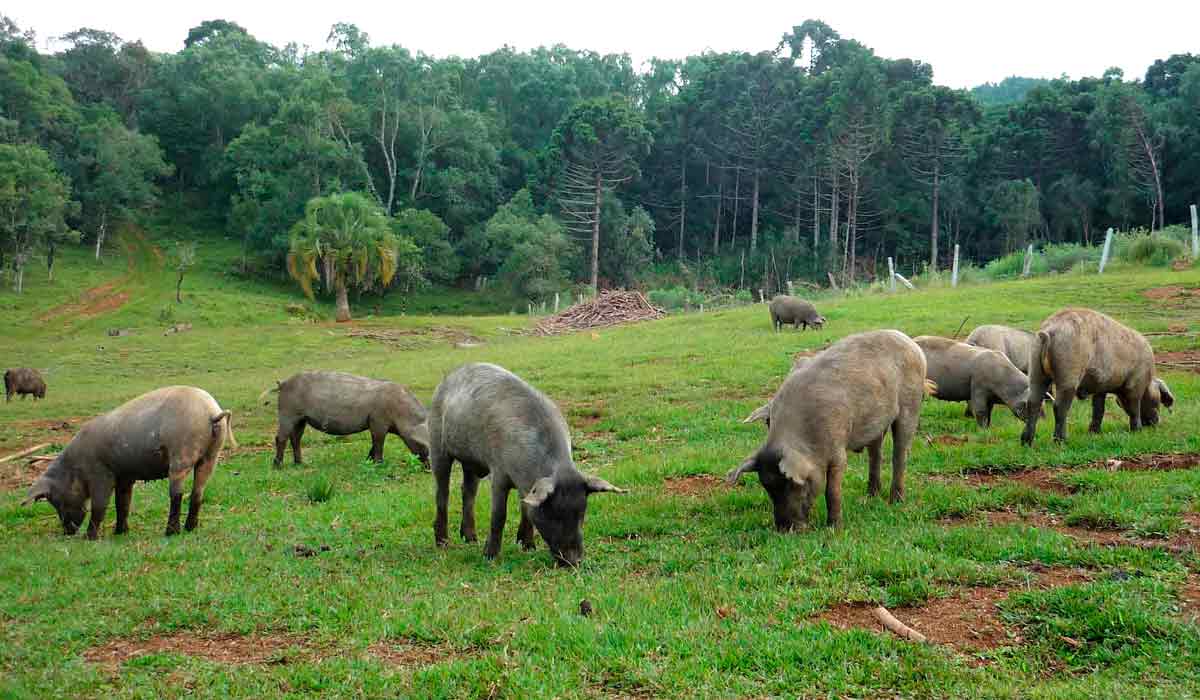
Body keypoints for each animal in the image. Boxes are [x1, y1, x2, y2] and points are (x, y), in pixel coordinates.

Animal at [21, 386, 234, 540]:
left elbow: (100, 505)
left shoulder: (100, 474)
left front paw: (90, 537)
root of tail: (211, 412)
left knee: (177, 494)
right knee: (198, 492)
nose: (68, 531)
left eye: (55, 499)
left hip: (181, 454)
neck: (75, 468)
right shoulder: (125, 477)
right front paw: (120, 532)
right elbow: (122, 503)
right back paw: (190, 528)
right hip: (211, 456)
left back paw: (170, 532)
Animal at [261, 369, 432, 468]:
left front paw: (368, 461)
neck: (400, 411)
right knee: (281, 438)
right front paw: (379, 464)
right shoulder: (378, 422)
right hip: (287, 414)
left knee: (295, 438)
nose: (429, 468)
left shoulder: (375, 425)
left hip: (301, 419)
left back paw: (300, 464)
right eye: (423, 444)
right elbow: (378, 444)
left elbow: (373, 444)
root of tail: (283, 383)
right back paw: (278, 466)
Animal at [429, 365, 628, 566]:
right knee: (442, 493)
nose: (574, 561)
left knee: (468, 491)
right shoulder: (499, 472)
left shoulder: (527, 485)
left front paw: (528, 547)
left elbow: (525, 509)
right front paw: (489, 557)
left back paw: (471, 539)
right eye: (553, 513)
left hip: (471, 462)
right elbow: (499, 515)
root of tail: (450, 375)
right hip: (437, 444)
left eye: (581, 513)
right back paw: (443, 543)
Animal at [720, 331, 926, 528]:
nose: (785, 529)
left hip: (911, 403)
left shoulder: (838, 449)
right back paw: (869, 497)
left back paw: (896, 502)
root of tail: (910, 342)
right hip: (877, 421)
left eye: (793, 484)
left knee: (900, 454)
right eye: (768, 487)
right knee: (876, 454)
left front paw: (834, 528)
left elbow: (832, 490)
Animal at [1017, 309, 1176, 446]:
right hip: (1068, 373)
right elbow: (1134, 407)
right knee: (1059, 406)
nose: (1156, 423)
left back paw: (1026, 442)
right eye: (1158, 399)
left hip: (1036, 370)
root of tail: (1049, 330)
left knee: (1033, 403)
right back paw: (1061, 441)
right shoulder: (1135, 384)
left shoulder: (1101, 388)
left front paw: (1094, 433)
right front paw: (1137, 430)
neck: (1148, 378)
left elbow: (1099, 409)